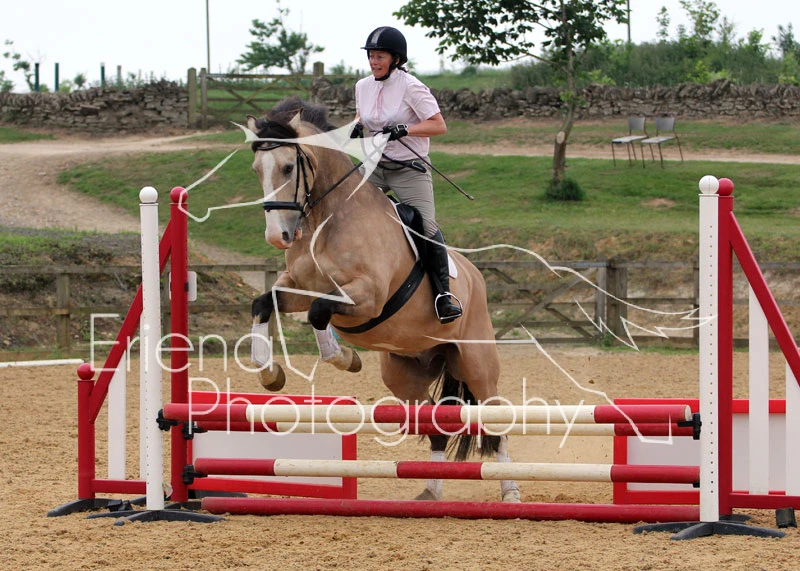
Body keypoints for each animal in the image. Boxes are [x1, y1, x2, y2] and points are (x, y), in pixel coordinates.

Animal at [246, 97, 520, 502]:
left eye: (287, 167)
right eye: (256, 170)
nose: (277, 236)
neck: (327, 219)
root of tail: (475, 275)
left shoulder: (367, 296)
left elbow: (318, 312)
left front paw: (345, 358)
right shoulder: (295, 286)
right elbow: (264, 304)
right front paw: (269, 373)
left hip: (477, 363)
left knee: (494, 419)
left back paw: (510, 489)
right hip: (405, 375)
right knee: (435, 423)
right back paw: (430, 491)